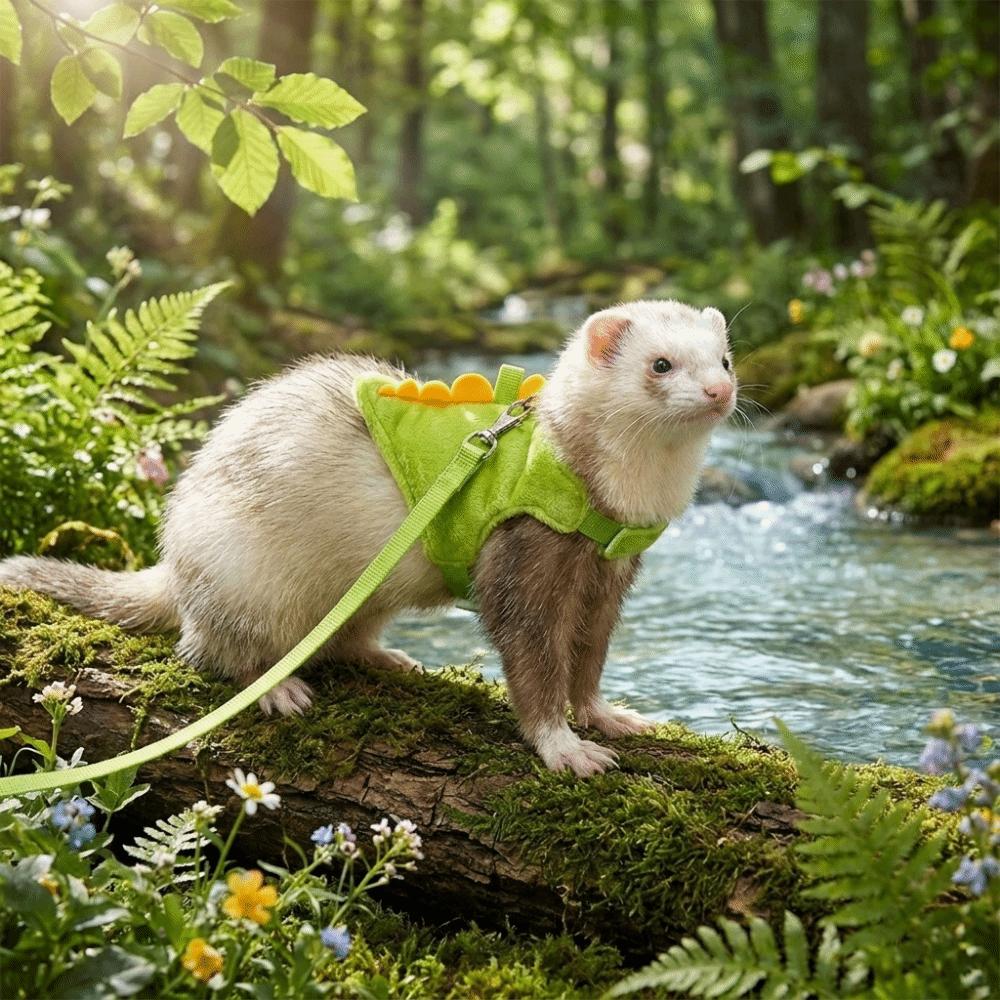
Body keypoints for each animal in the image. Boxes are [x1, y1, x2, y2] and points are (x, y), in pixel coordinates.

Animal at [0, 300, 737, 776]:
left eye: (725, 356)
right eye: (661, 363)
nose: (719, 390)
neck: (618, 502)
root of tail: (174, 556)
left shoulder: (610, 576)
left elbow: (588, 658)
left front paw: (609, 716)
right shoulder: (525, 555)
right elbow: (532, 660)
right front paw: (564, 747)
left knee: (344, 636)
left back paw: (389, 658)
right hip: (241, 574)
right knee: (216, 649)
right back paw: (277, 688)